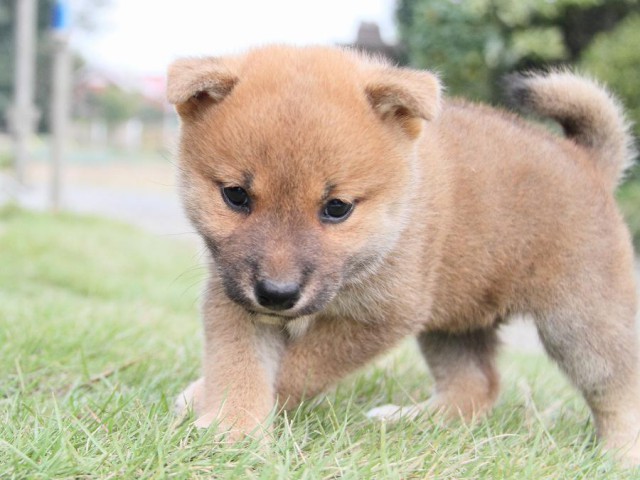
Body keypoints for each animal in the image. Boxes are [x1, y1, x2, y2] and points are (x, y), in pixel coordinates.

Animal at [166, 47, 640, 464]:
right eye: (236, 196)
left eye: (337, 208)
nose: (276, 294)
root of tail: (587, 162)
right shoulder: (232, 293)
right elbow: (238, 367)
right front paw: (232, 430)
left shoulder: (381, 317)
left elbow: (298, 368)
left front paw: (205, 404)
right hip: (454, 320)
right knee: (476, 386)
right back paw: (408, 422)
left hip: (581, 324)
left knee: (619, 388)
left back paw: (620, 456)